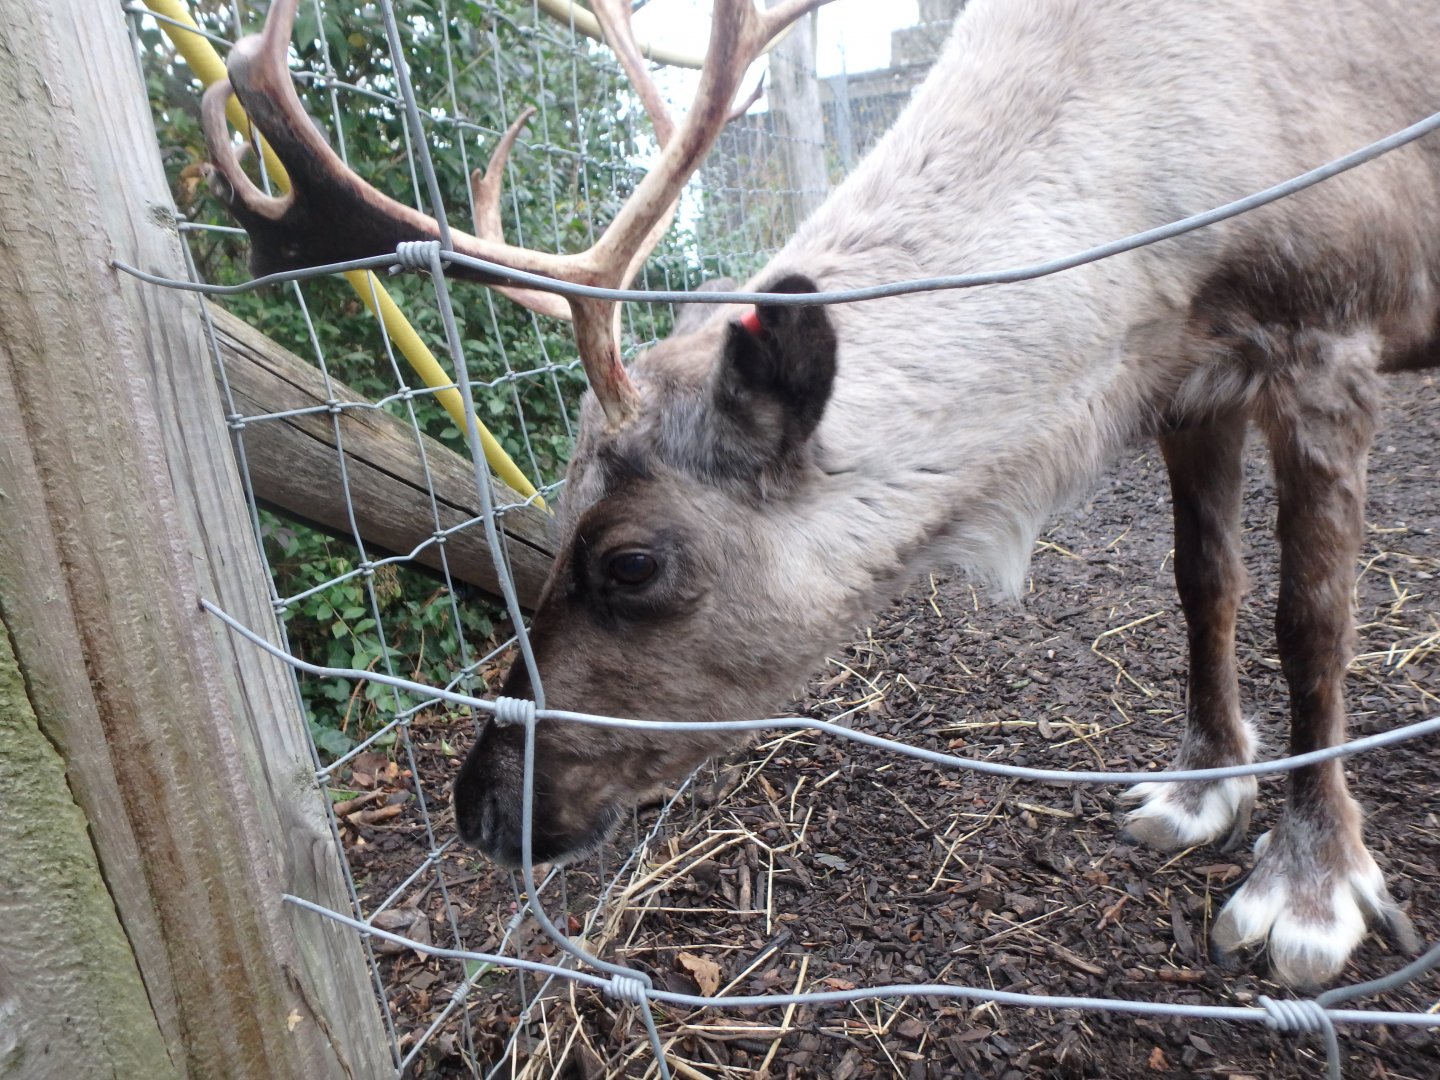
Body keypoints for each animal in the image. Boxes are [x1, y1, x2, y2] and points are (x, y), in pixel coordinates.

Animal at [204, 0, 1440, 988]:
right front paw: (1198, 789)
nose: (480, 807)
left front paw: (1311, 885)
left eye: (631, 563)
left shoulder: (1327, 340)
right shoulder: (1187, 381)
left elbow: (1310, 623)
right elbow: (1202, 584)